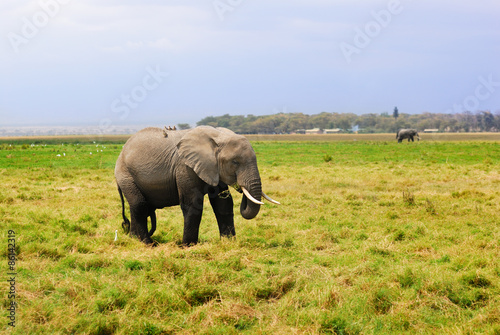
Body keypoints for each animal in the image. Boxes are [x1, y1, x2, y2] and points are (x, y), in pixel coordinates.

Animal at [114, 126, 280, 247]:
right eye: (235, 162)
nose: (240, 187)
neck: (218, 136)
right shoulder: (185, 167)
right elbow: (192, 205)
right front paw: (188, 246)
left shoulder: (213, 168)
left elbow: (223, 204)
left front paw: (228, 243)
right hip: (125, 174)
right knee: (139, 205)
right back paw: (149, 244)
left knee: (136, 207)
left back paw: (133, 240)